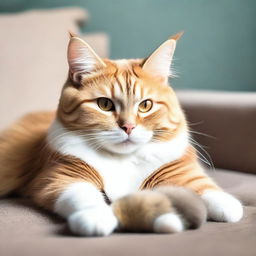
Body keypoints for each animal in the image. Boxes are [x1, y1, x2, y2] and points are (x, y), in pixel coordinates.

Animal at [0, 32, 243, 236]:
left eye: (145, 105)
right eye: (105, 104)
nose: (128, 127)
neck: (122, 159)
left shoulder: (177, 170)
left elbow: (203, 186)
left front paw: (227, 205)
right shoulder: (60, 176)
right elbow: (84, 195)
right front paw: (96, 218)